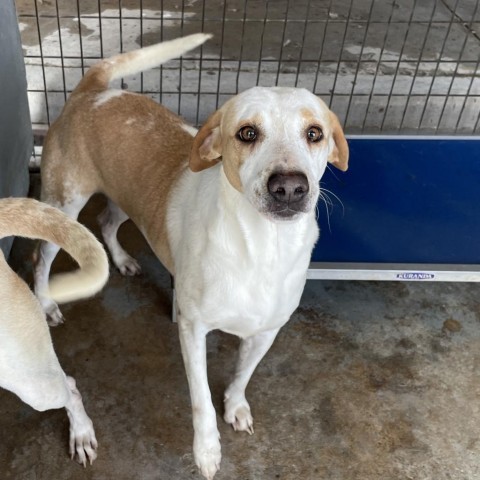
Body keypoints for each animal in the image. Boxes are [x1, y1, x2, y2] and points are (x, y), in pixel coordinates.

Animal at [32, 32, 348, 476]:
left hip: (129, 200)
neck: (261, 247)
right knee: (40, 259)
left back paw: (123, 260)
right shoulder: (193, 330)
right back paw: (45, 303)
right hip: (63, 206)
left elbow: (242, 375)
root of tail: (93, 92)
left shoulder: (267, 331)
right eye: (247, 133)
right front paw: (207, 452)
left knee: (108, 222)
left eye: (315, 133)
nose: (289, 187)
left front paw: (236, 407)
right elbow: (201, 402)